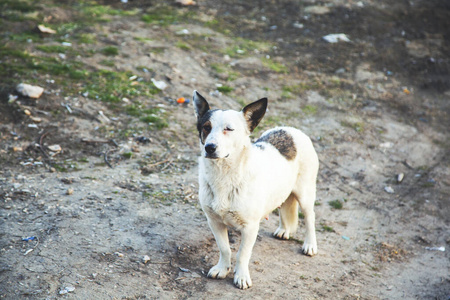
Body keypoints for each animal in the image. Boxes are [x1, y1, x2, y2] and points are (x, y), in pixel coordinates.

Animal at [193, 91, 320, 288]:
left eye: (229, 129)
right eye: (206, 127)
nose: (209, 147)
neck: (224, 175)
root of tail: (292, 129)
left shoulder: (250, 227)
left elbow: (242, 254)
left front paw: (241, 276)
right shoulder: (214, 221)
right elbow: (224, 248)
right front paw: (222, 269)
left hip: (305, 193)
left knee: (309, 218)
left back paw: (310, 244)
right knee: (284, 205)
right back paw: (284, 230)